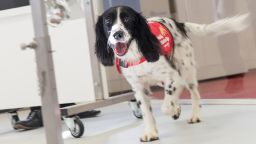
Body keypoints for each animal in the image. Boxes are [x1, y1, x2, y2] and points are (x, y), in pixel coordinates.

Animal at [95, 6, 249, 142]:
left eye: (127, 19)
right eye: (108, 21)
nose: (117, 34)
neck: (135, 55)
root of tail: (178, 23)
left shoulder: (174, 76)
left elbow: (165, 106)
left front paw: (174, 110)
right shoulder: (139, 88)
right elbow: (146, 112)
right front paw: (151, 133)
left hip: (187, 71)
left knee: (194, 94)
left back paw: (194, 115)